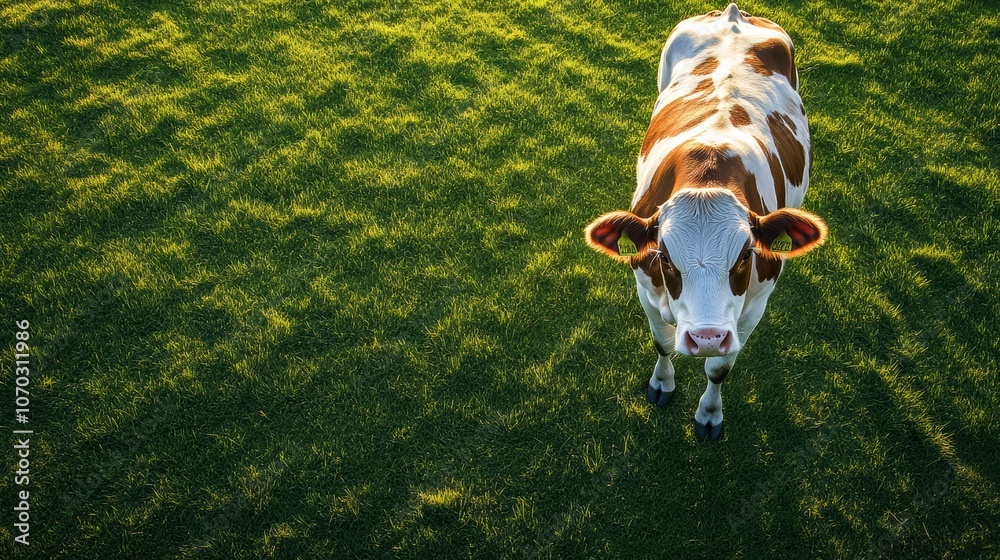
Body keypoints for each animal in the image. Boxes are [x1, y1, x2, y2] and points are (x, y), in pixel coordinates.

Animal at [584, 3, 828, 441]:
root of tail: (731, 12)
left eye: (745, 255)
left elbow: (719, 369)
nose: (707, 337)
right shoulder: (645, 287)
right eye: (664, 258)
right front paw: (662, 383)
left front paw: (710, 413)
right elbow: (663, 344)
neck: (708, 173)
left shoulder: (754, 306)